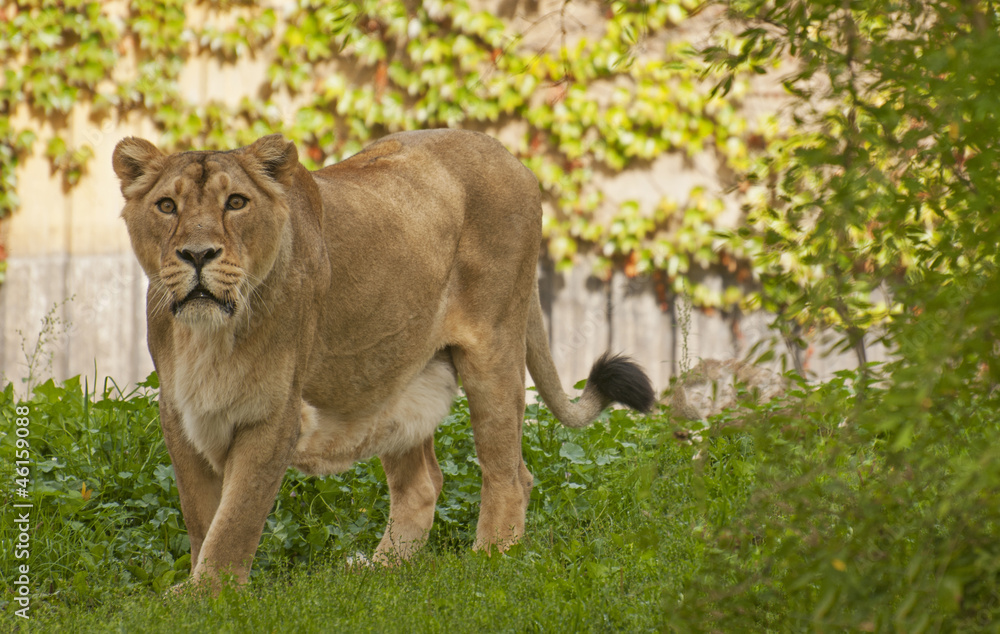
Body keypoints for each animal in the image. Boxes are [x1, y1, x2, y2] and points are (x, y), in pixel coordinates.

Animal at [112, 129, 654, 589]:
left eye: (237, 203)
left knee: (510, 474)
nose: (197, 254)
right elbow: (201, 514)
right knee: (423, 484)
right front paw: (201, 586)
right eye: (166, 206)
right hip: (389, 378)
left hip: (494, 349)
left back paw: (490, 560)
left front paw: (208, 595)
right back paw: (382, 569)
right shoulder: (180, 411)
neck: (208, 336)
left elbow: (236, 518)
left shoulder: (275, 414)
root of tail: (506, 152)